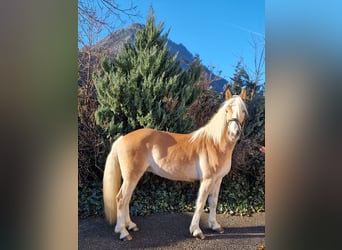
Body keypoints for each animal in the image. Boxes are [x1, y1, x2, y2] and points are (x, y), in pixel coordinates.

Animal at [103, 88, 247, 240]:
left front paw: (215, 226)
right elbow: (201, 203)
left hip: (133, 177)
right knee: (121, 199)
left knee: (126, 199)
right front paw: (196, 230)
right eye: (227, 110)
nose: (234, 133)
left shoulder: (218, 179)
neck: (215, 144)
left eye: (243, 111)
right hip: (131, 176)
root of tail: (122, 138)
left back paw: (130, 225)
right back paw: (123, 232)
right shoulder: (207, 180)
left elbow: (213, 202)